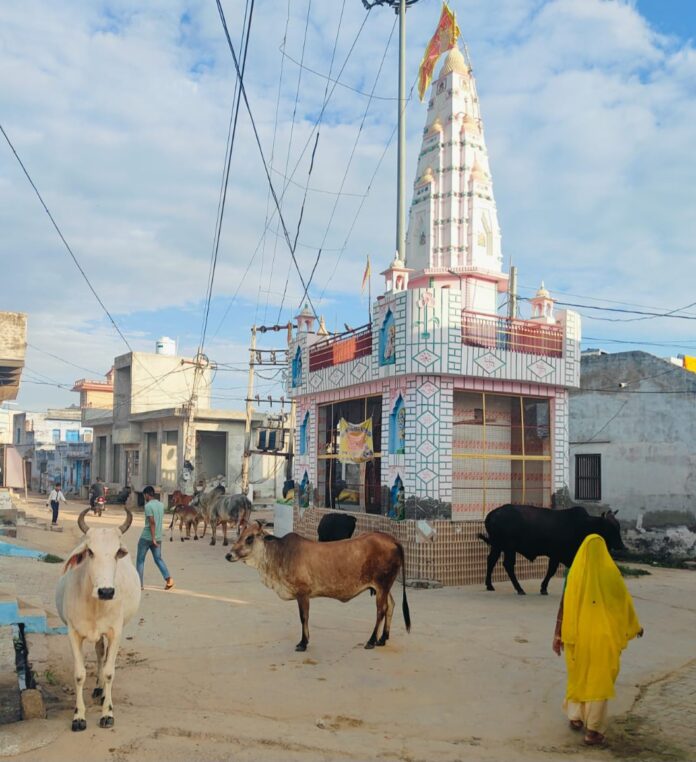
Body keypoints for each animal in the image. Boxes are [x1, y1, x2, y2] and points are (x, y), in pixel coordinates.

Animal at [56, 508, 141, 728]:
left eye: (117, 553)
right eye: (90, 552)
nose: (106, 591)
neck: (95, 603)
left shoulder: (115, 632)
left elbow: (110, 672)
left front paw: (107, 713)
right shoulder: (73, 633)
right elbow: (79, 675)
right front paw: (78, 716)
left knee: (104, 655)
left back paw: (102, 692)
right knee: (99, 652)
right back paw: (98, 688)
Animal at [224, 524, 408, 652]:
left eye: (249, 538)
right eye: (239, 535)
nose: (229, 555)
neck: (279, 555)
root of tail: (392, 539)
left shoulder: (302, 593)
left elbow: (303, 617)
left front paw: (303, 643)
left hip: (382, 585)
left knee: (381, 611)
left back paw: (371, 641)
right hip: (384, 587)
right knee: (391, 606)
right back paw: (383, 639)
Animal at [478, 504, 624, 592]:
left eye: (618, 526)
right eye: (610, 527)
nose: (621, 546)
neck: (584, 525)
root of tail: (492, 514)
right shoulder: (556, 554)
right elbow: (551, 571)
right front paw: (543, 588)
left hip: (497, 546)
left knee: (491, 560)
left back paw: (489, 585)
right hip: (509, 547)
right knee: (508, 564)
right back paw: (519, 589)